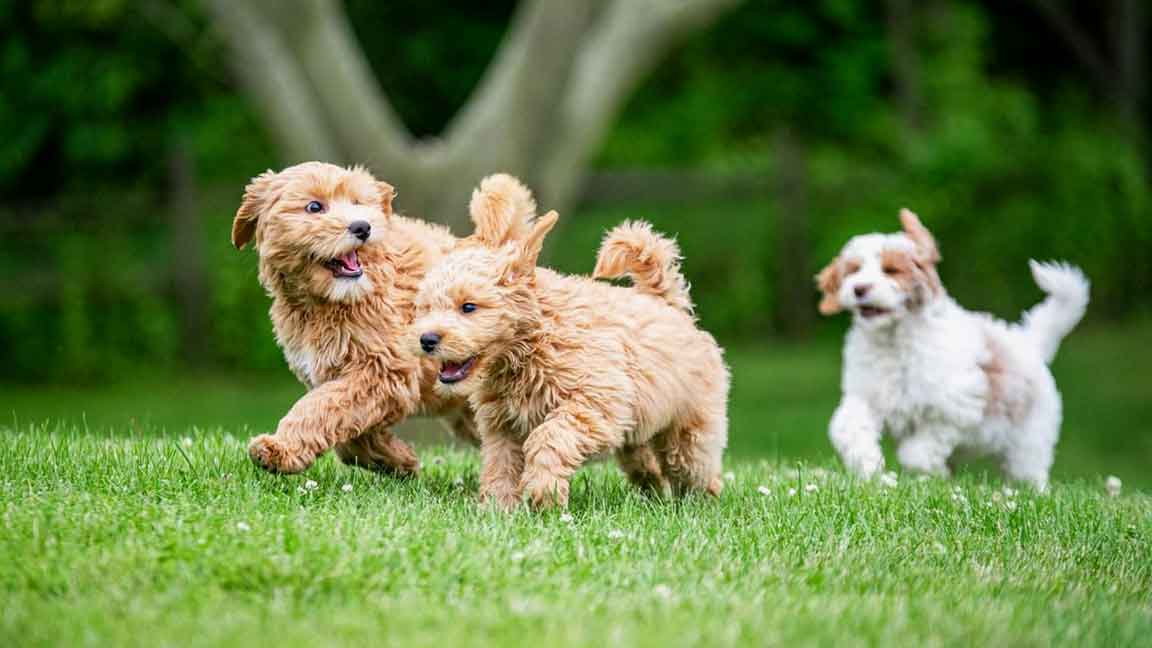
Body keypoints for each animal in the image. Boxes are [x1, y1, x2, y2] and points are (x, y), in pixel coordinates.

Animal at [231, 161, 474, 475]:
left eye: (358, 203)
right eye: (314, 207)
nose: (363, 226)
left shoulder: (381, 371)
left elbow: (320, 408)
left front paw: (280, 449)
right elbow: (348, 433)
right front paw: (396, 458)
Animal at [410, 174, 723, 507]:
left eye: (468, 307)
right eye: (425, 308)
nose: (427, 339)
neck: (534, 342)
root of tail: (668, 303)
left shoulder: (594, 403)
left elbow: (550, 436)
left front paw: (543, 492)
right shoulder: (503, 425)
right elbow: (500, 464)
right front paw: (497, 507)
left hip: (690, 430)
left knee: (695, 467)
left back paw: (701, 502)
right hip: (640, 426)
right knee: (642, 458)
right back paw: (651, 488)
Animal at [820, 209, 1087, 486]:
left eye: (891, 270)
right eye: (853, 270)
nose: (859, 288)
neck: (893, 340)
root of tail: (1028, 342)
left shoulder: (954, 406)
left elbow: (919, 450)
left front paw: (928, 471)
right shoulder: (865, 395)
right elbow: (850, 427)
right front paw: (868, 465)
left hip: (1029, 440)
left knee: (1028, 471)